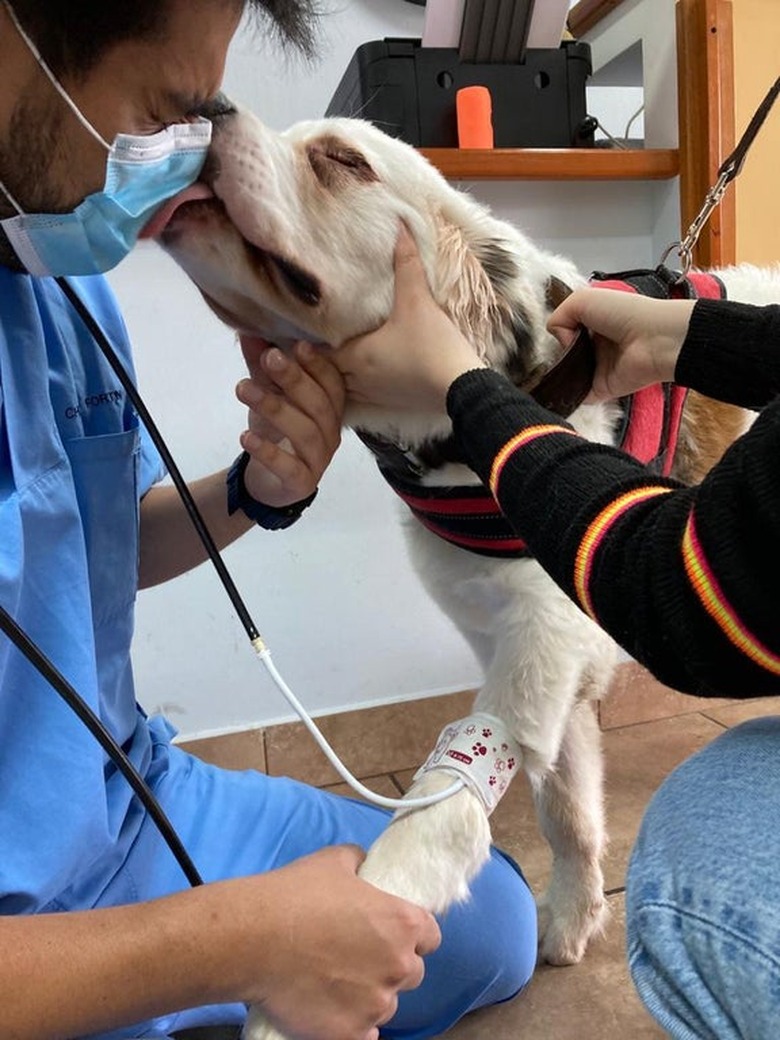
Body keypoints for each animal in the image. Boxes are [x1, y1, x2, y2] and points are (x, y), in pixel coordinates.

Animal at [150, 107, 780, 1040]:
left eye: (342, 160)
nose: (211, 112)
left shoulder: (534, 660)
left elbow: (440, 813)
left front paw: (321, 967)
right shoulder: (540, 672)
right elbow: (567, 816)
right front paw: (573, 918)